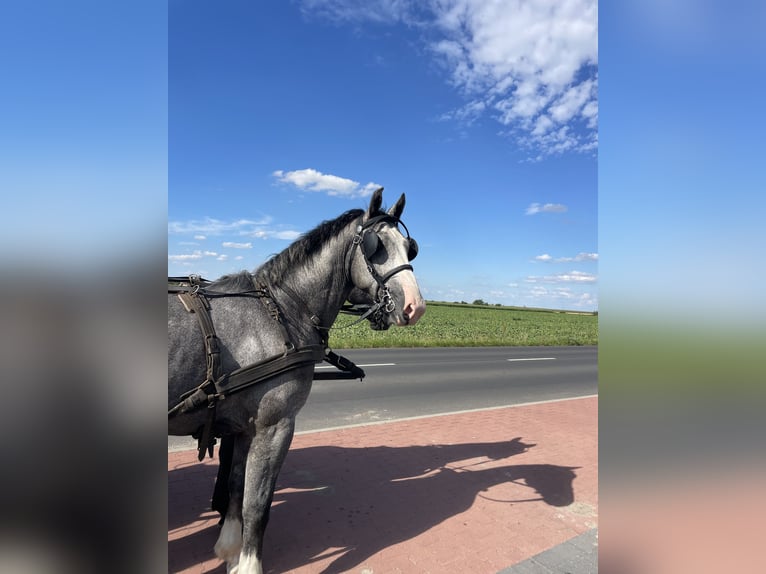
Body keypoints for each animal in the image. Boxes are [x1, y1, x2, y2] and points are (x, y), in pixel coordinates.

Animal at [167, 190, 426, 574]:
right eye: (375, 245)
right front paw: (249, 564)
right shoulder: (276, 426)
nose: (414, 306)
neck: (284, 311)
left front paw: (231, 551)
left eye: (410, 248)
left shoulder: (246, 428)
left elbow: (237, 488)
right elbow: (257, 504)